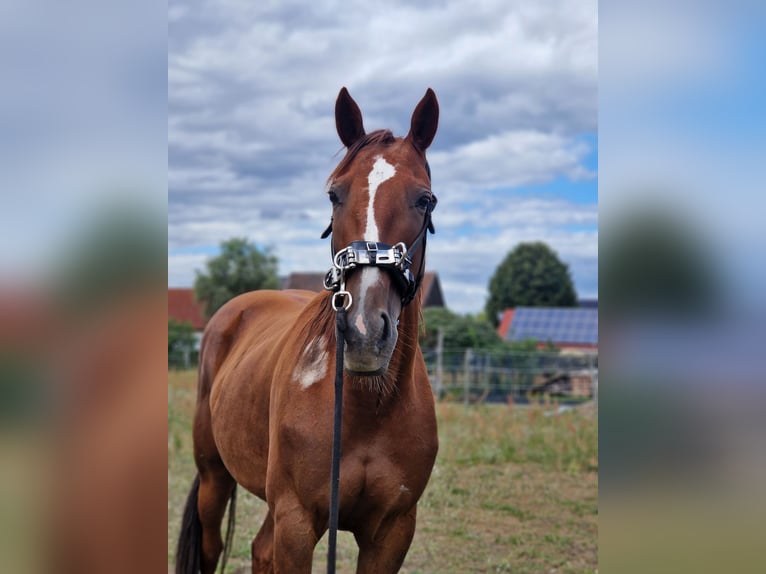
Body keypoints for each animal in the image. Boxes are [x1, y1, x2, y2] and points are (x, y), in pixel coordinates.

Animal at [176, 87, 440, 574]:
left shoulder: (392, 533)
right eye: (335, 194)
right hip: (213, 477)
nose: (364, 333)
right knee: (212, 546)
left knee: (260, 548)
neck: (368, 407)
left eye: (424, 200)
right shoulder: (297, 521)